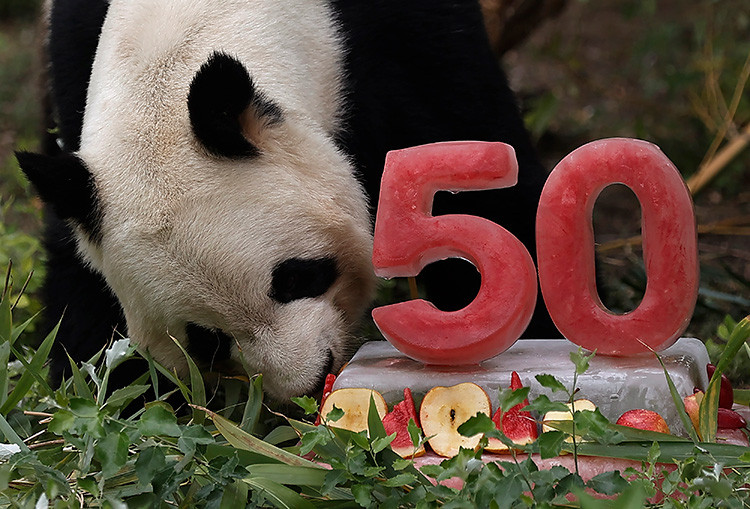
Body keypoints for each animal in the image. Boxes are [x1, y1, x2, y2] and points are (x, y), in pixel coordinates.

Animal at [18, 0, 558, 402]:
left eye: (297, 276)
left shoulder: (399, 42)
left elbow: (475, 177)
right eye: (206, 340)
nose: (312, 378)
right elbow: (79, 282)